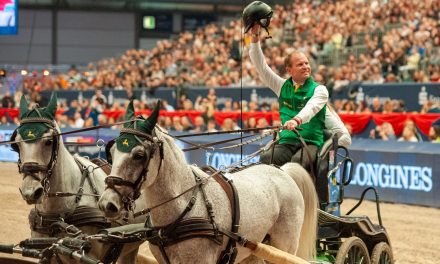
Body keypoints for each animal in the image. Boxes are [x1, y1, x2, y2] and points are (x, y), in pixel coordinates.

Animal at [98, 100, 318, 262]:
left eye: (139, 155)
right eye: (111, 152)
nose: (107, 204)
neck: (185, 206)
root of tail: (281, 171)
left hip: (286, 244)